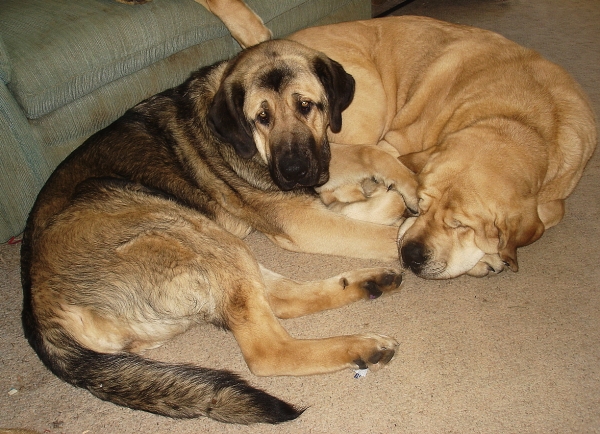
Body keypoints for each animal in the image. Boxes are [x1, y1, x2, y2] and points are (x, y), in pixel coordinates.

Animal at [290, 17, 596, 278]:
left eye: (460, 225)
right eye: (422, 205)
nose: (410, 256)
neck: (519, 121)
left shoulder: (555, 195)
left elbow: (548, 213)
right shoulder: (395, 144)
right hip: (371, 98)